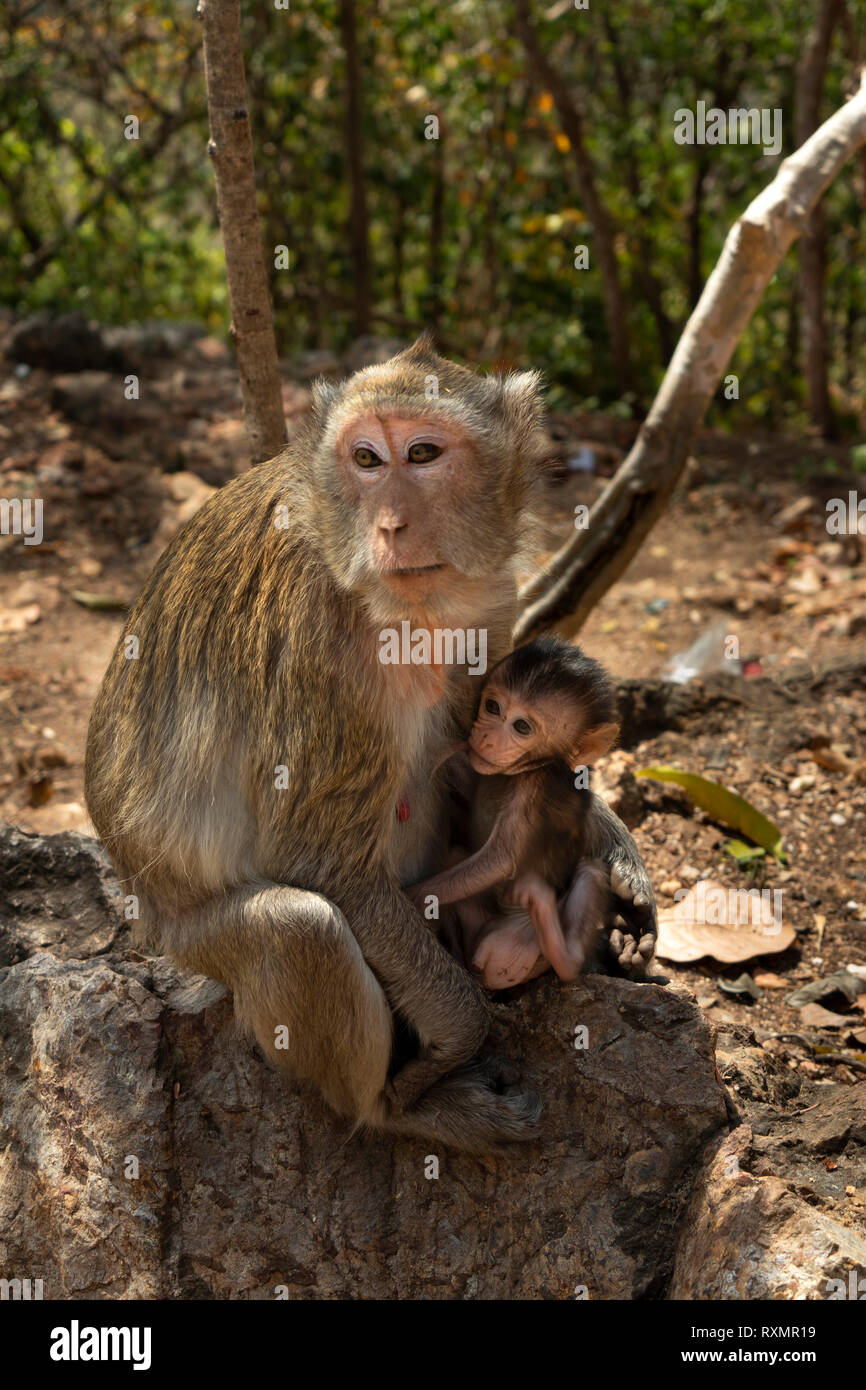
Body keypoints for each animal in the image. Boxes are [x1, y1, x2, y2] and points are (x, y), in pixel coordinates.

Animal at [408, 638, 654, 990]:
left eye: (522, 727)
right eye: (492, 707)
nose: (485, 737)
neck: (528, 768)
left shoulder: (531, 791)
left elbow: (501, 859)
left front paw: (411, 895)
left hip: (520, 943)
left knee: (591, 873)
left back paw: (566, 950)